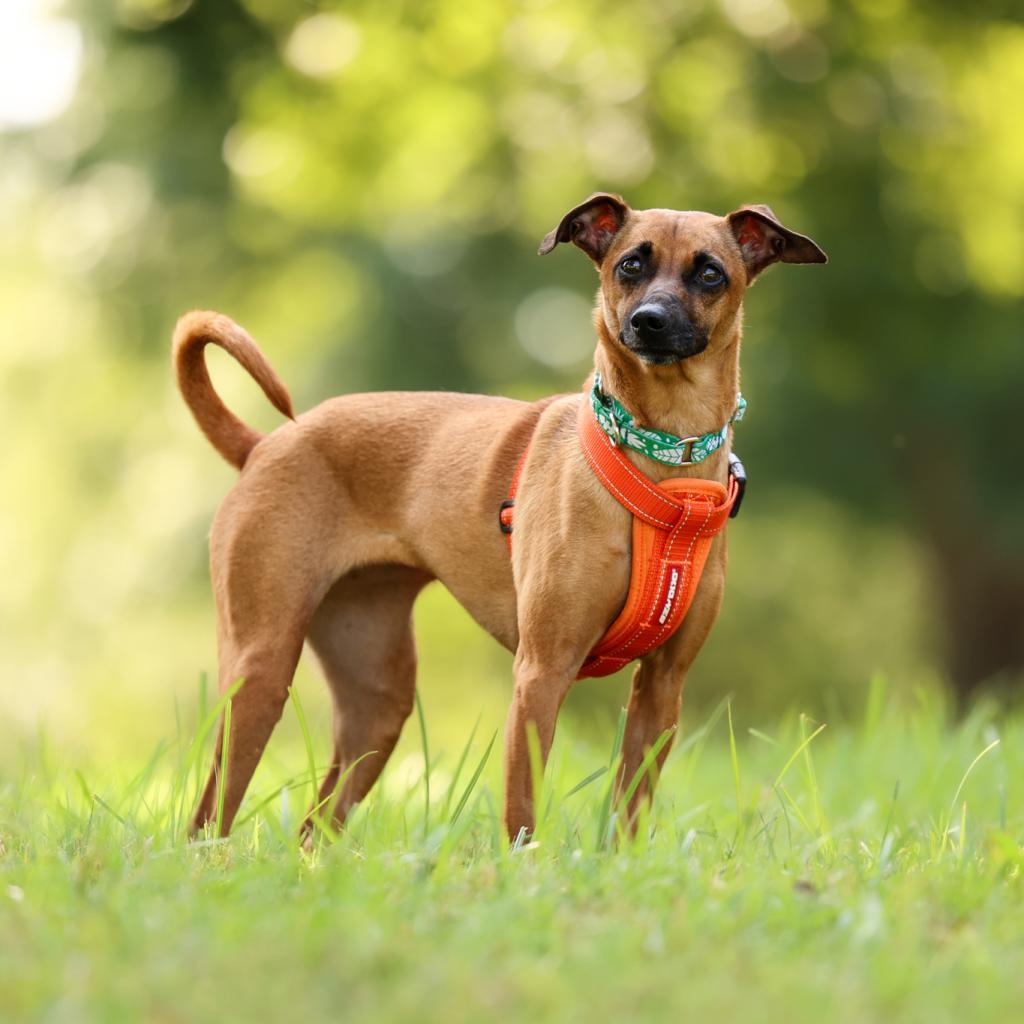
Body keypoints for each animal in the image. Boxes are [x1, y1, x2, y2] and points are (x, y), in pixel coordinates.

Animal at [169, 192, 823, 839]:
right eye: (629, 265)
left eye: (710, 273)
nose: (648, 320)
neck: (664, 456)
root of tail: (265, 445)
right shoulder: (541, 674)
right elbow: (523, 812)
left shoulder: (662, 687)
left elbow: (629, 814)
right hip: (259, 673)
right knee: (208, 818)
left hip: (376, 699)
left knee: (316, 825)